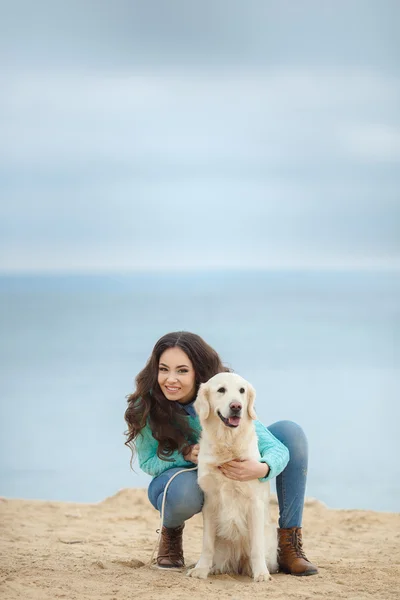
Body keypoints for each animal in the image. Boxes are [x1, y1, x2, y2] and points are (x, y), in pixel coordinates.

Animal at [188, 372, 278, 584]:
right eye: (221, 390)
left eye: (242, 390)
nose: (236, 406)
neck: (228, 443)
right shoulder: (210, 502)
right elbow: (207, 544)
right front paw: (201, 569)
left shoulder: (254, 503)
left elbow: (256, 547)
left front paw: (261, 573)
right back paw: (213, 568)